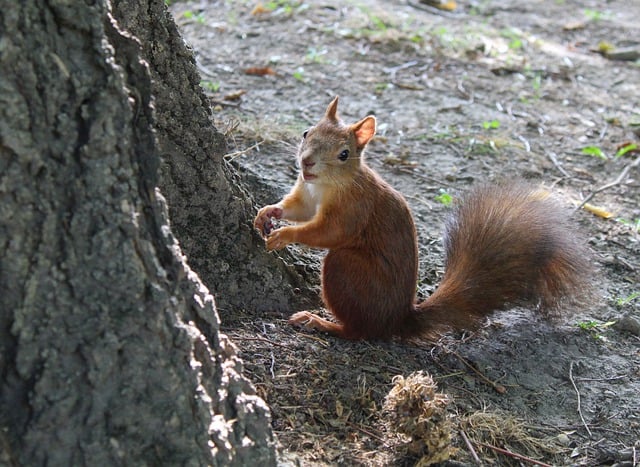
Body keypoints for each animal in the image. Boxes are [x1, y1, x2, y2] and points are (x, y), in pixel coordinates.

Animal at [252, 98, 592, 340]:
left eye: (344, 154)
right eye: (306, 132)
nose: (306, 162)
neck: (323, 185)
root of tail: (397, 320)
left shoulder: (353, 208)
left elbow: (328, 232)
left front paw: (285, 235)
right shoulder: (306, 194)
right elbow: (297, 208)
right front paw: (268, 212)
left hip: (347, 269)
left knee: (358, 331)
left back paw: (321, 322)